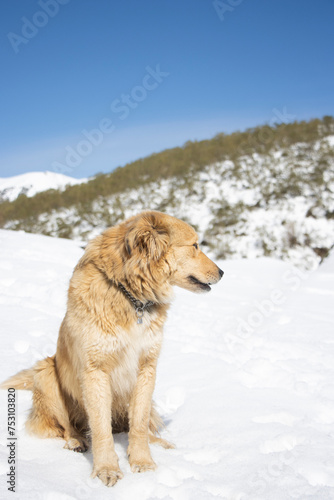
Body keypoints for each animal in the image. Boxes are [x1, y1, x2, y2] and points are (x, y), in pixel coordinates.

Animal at [1, 210, 224, 484]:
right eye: (194, 246)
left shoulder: (146, 368)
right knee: (66, 426)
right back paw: (76, 441)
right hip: (46, 374)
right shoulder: (95, 371)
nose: (222, 272)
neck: (130, 295)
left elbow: (138, 423)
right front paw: (106, 469)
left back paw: (159, 442)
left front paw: (143, 462)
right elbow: (100, 428)